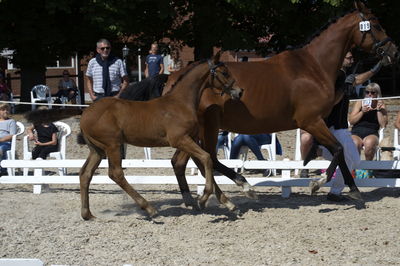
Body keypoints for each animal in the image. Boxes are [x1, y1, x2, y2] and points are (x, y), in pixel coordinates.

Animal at [27, 52, 244, 218]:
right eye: (224, 72)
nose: (239, 91)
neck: (180, 103)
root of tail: (86, 110)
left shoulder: (188, 140)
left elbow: (203, 162)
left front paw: (226, 202)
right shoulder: (180, 139)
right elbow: (206, 159)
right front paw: (204, 198)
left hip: (97, 149)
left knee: (85, 174)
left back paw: (87, 214)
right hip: (113, 145)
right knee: (115, 173)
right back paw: (149, 208)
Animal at [165, 1, 396, 204]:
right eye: (376, 24)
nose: (394, 51)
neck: (313, 66)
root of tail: (175, 77)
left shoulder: (318, 123)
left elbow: (340, 154)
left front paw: (354, 190)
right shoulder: (312, 121)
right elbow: (339, 149)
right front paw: (318, 183)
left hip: (194, 131)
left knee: (183, 161)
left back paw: (198, 200)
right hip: (209, 127)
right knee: (208, 158)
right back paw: (243, 188)